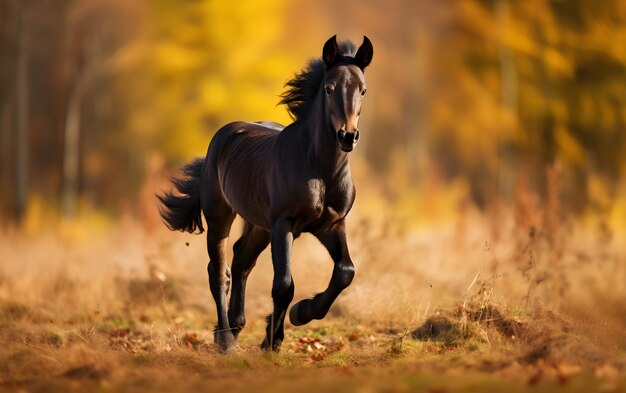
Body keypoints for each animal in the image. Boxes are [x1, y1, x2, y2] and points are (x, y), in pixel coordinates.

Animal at [158, 35, 370, 350]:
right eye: (329, 88)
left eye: (363, 90)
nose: (347, 136)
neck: (320, 168)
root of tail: (223, 135)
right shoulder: (284, 224)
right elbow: (283, 284)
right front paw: (273, 339)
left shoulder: (331, 224)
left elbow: (345, 272)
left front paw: (301, 312)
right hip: (221, 217)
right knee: (219, 272)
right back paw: (225, 340)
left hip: (260, 226)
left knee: (241, 260)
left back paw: (235, 326)